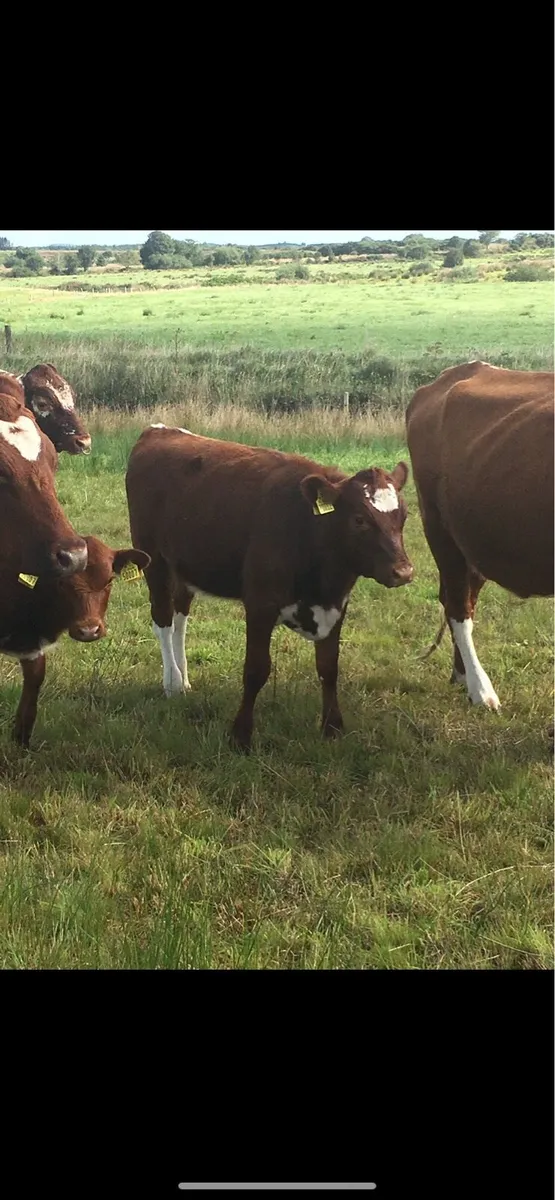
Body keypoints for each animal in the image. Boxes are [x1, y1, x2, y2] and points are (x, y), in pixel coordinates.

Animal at [0, 535, 150, 747]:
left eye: (109, 580)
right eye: (62, 583)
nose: (89, 631)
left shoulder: (31, 644)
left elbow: (34, 679)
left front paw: (21, 740)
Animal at [125, 424, 414, 751]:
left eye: (404, 516)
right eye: (360, 519)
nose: (403, 571)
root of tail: (159, 430)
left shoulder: (337, 604)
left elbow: (329, 667)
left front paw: (332, 727)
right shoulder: (260, 604)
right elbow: (256, 669)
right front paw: (240, 735)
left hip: (184, 566)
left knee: (179, 617)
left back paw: (183, 679)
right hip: (153, 558)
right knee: (162, 618)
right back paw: (172, 682)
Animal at [405, 360, 554, 712]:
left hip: (472, 541)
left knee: (459, 599)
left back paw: (461, 676)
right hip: (438, 526)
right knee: (458, 608)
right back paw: (480, 689)